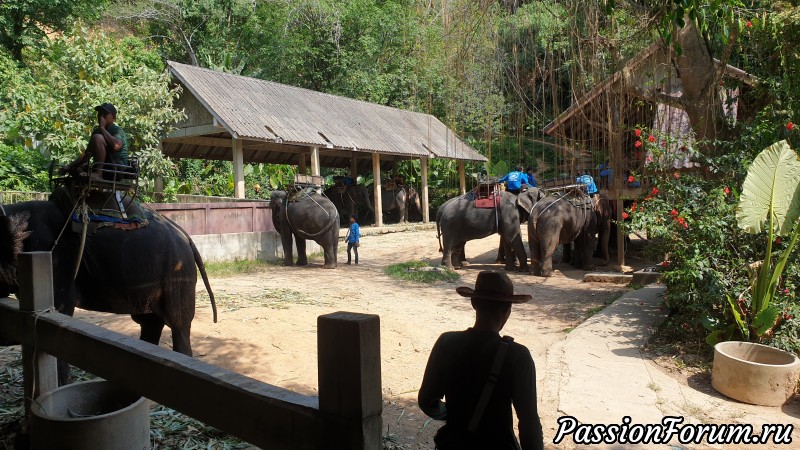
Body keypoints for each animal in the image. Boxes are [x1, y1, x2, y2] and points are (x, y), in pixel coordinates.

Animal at [0, 187, 219, 366]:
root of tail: (185, 236)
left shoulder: (55, 260)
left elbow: (60, 314)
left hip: (177, 275)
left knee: (177, 325)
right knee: (149, 322)